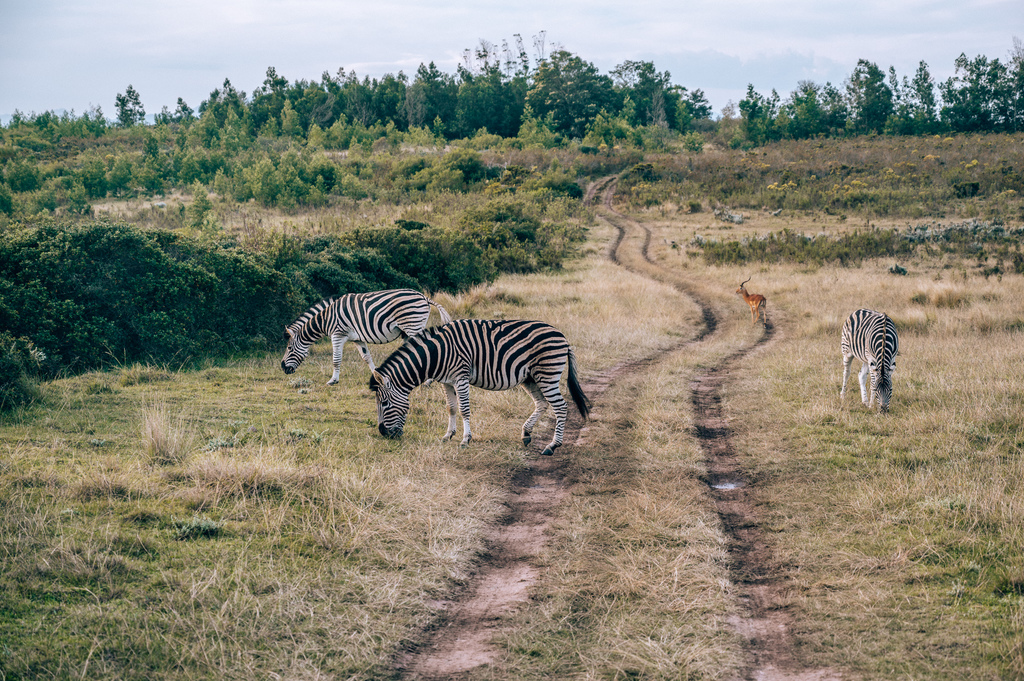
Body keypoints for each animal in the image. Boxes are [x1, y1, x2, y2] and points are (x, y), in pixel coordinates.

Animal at [282, 286, 454, 382]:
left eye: (289, 349)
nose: (283, 368)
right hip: (408, 330)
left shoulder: (338, 334)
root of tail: (424, 296)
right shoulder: (357, 339)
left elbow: (336, 359)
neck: (327, 318)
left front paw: (333, 380)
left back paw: (429, 381)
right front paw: (378, 376)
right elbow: (366, 357)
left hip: (413, 325)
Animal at [368, 319, 593, 456]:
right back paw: (526, 434)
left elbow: (464, 409)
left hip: (547, 373)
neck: (437, 354)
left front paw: (465, 439)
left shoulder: (460, 377)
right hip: (530, 377)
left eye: (385, 403)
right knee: (542, 404)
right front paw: (448, 435)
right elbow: (451, 408)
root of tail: (562, 336)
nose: (384, 433)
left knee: (560, 407)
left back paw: (552, 446)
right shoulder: (446, 382)